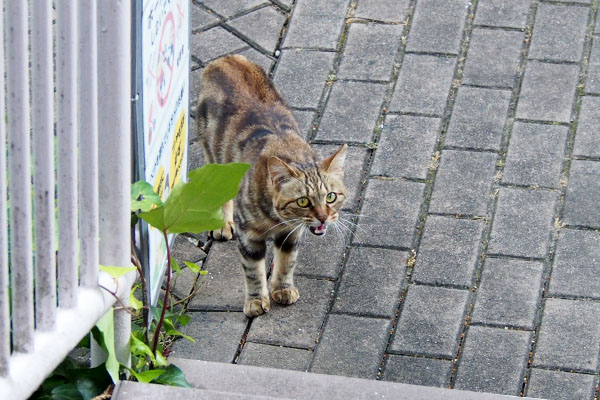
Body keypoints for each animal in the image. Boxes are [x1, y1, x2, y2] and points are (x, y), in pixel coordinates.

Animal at [197, 55, 346, 318]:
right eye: (303, 201)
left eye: (330, 197)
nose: (323, 218)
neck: (276, 219)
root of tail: (226, 58)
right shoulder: (249, 238)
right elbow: (253, 273)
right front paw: (256, 300)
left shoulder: (291, 233)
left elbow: (287, 263)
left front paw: (283, 289)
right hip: (214, 156)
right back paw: (223, 223)